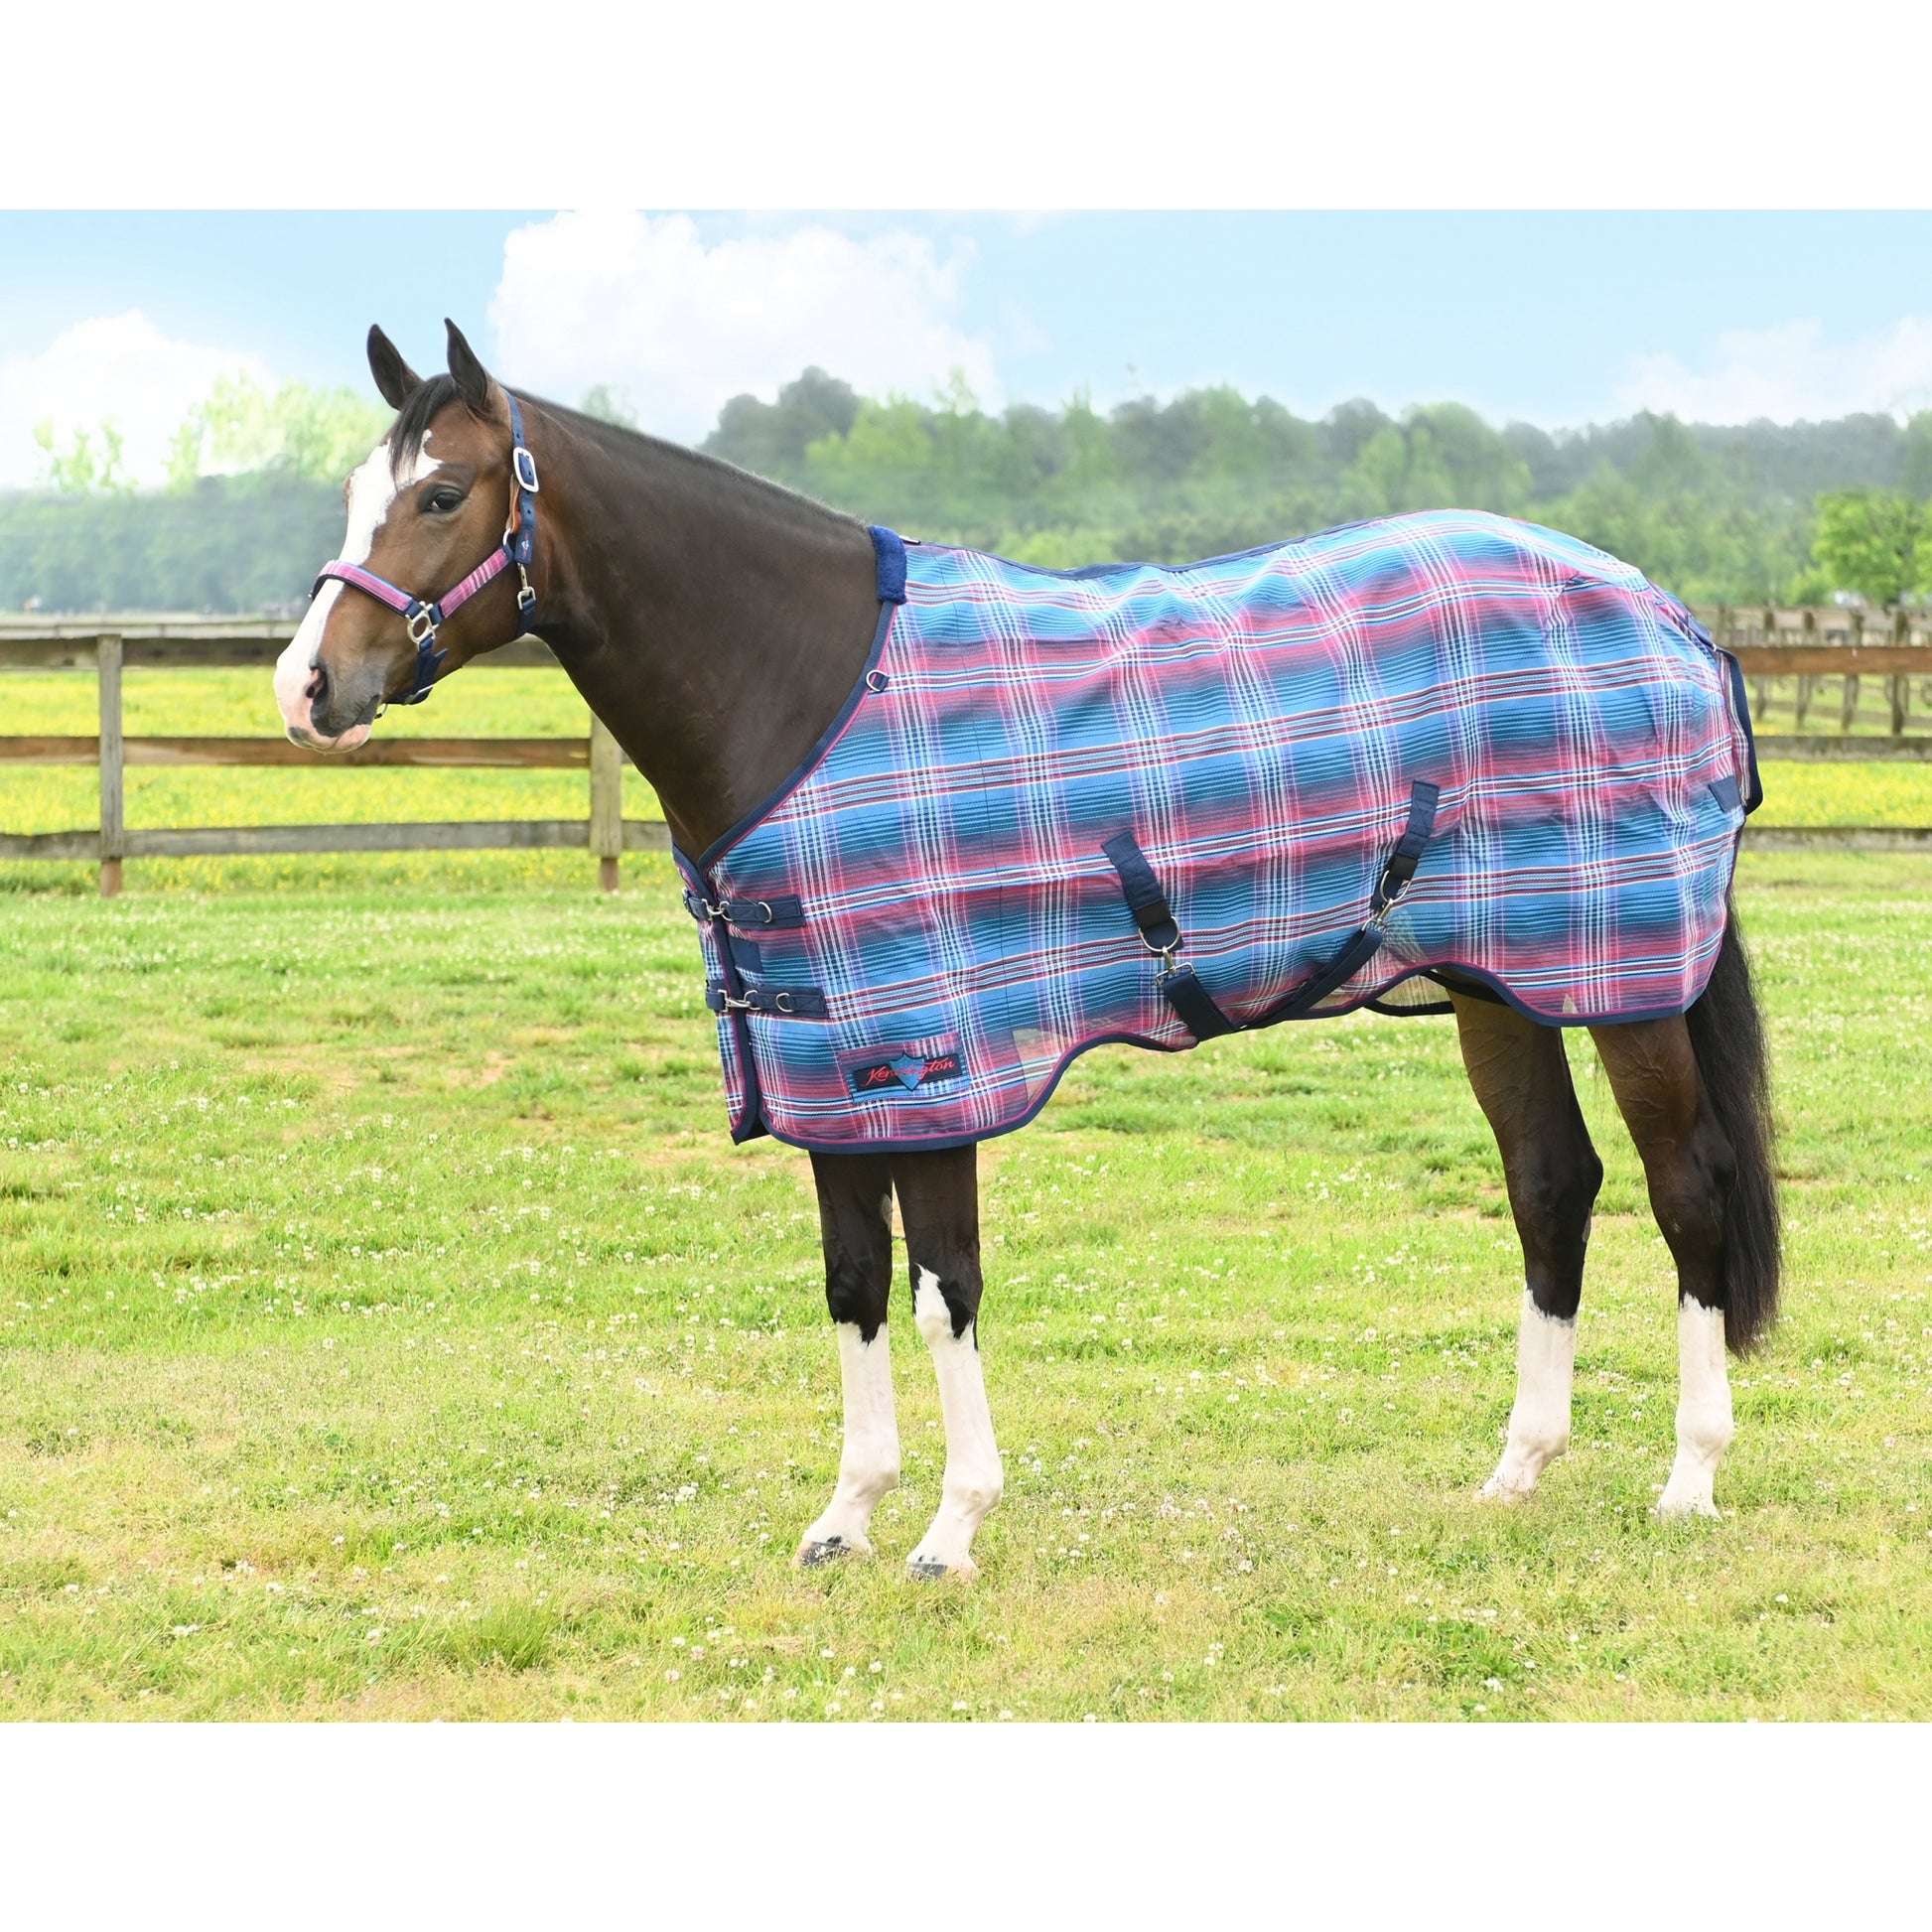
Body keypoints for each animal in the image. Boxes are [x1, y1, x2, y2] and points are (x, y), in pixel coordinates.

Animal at [274, 319, 1780, 1581]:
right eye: (357, 489)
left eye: (443, 493)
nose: (306, 686)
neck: (804, 686)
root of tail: (1671, 616)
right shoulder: (828, 1069)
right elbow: (852, 1285)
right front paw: (844, 1516)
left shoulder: (932, 1063)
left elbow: (944, 1291)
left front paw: (950, 1528)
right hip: (1501, 983)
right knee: (1550, 1185)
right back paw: (1516, 1469)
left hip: (1627, 982)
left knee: (1684, 1188)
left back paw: (1687, 1479)